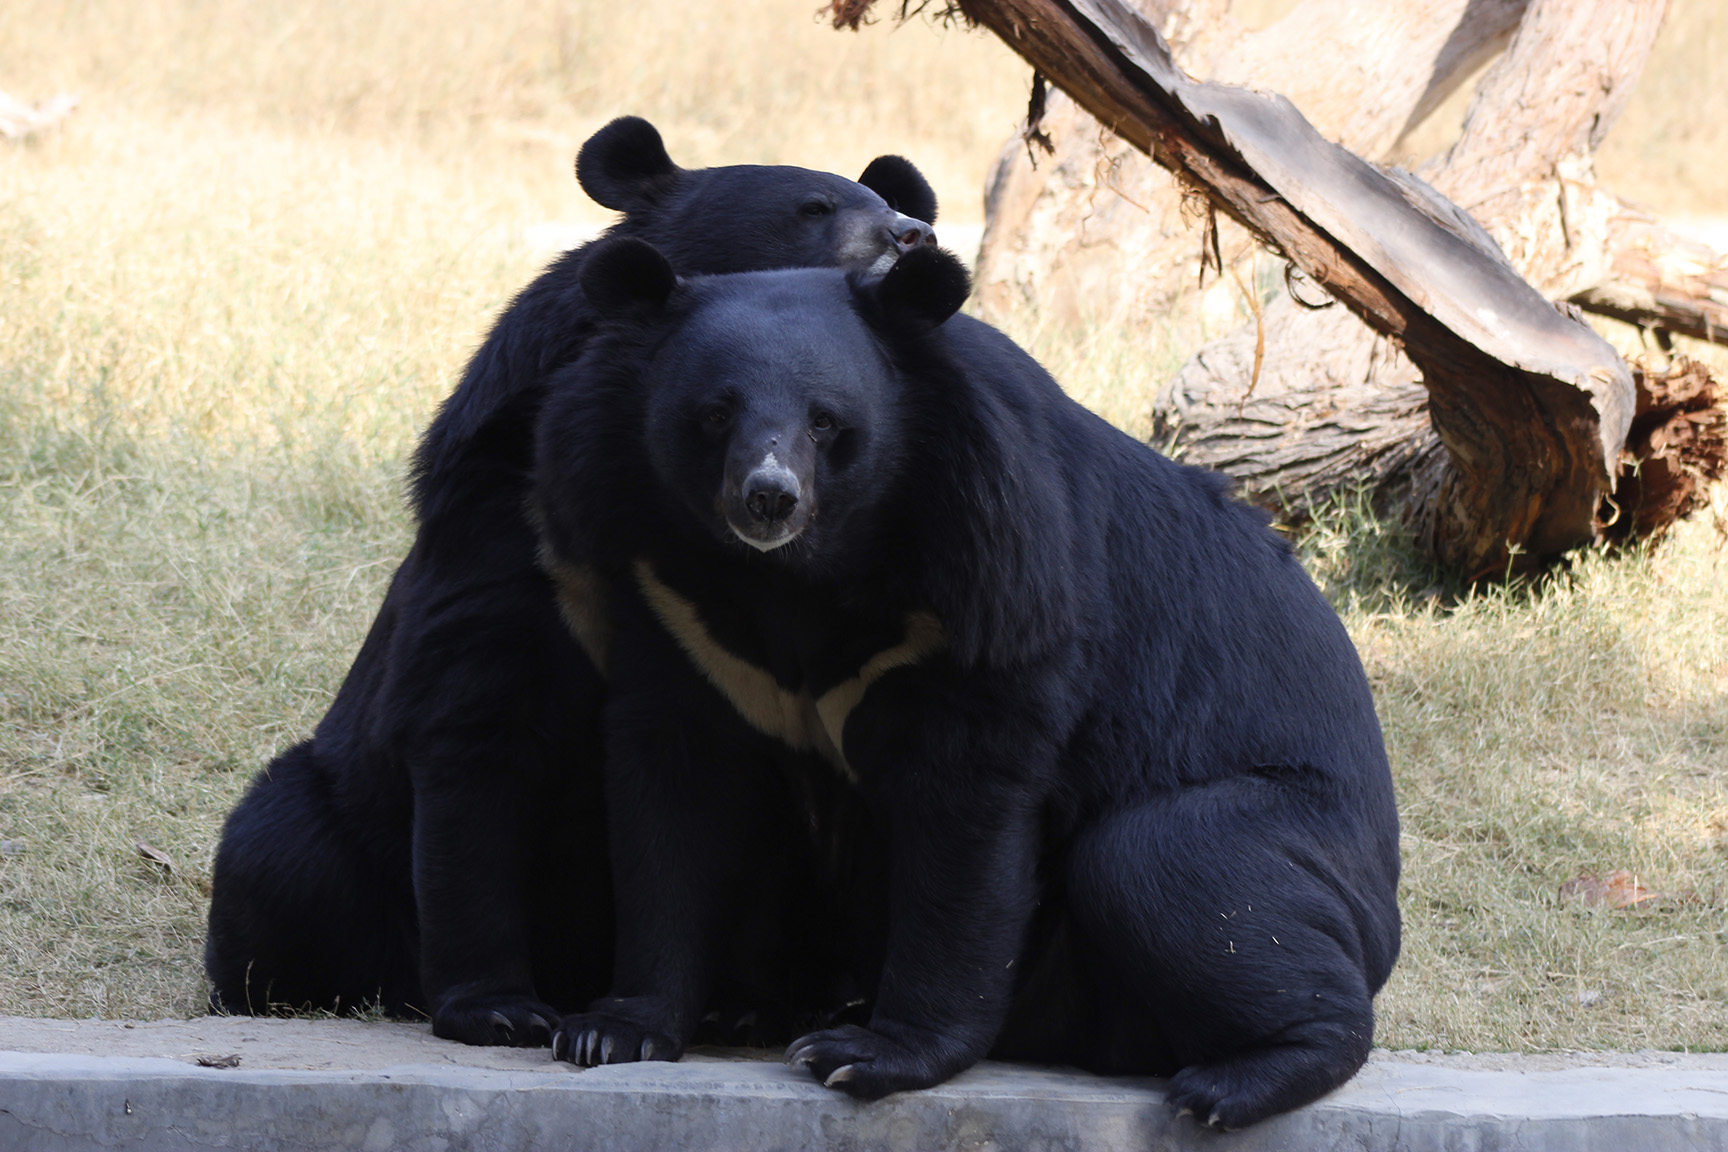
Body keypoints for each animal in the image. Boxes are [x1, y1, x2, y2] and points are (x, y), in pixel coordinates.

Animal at [205, 114, 946, 1043]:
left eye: (893, 206)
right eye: (812, 209)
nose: (916, 237)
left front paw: (741, 1008)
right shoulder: (503, 530)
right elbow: (475, 731)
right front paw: (497, 1008)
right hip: (325, 816)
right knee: (275, 857)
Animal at [532, 238, 1396, 1133]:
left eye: (825, 421)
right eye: (713, 414)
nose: (769, 497)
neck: (795, 571)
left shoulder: (991, 577)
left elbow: (965, 817)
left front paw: (865, 1055)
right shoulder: (670, 602)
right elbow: (672, 795)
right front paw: (608, 1031)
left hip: (1290, 828)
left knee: (1165, 861)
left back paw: (1233, 1082)